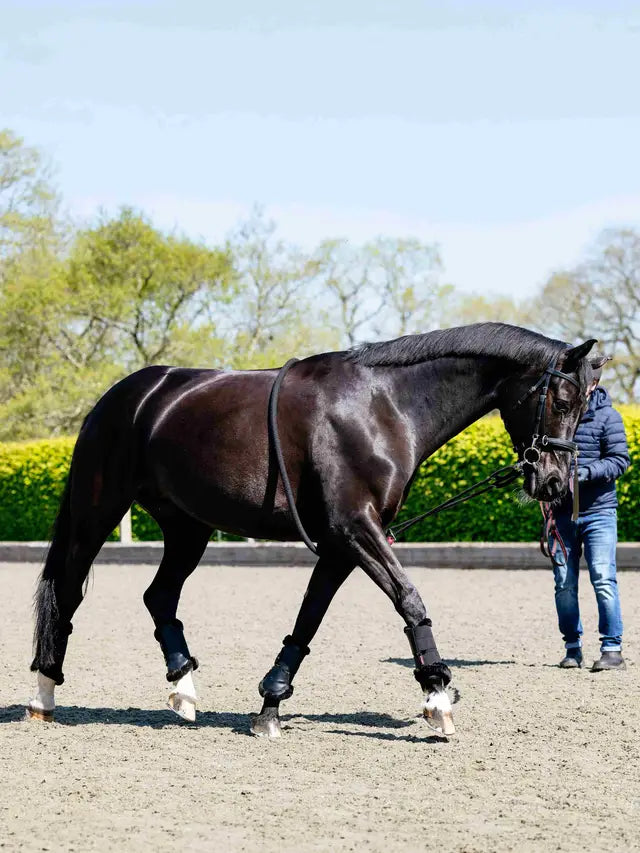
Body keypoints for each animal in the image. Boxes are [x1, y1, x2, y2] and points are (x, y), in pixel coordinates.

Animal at [27, 323, 603, 737]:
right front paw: (438, 695)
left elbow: (310, 617)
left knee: (159, 596)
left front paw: (270, 702)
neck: (383, 406)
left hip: (188, 527)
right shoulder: (355, 528)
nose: (555, 483)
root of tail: (125, 395)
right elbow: (408, 598)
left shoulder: (342, 542)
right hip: (98, 511)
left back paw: (184, 690)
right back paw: (43, 693)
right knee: (68, 592)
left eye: (585, 404)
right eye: (563, 399)